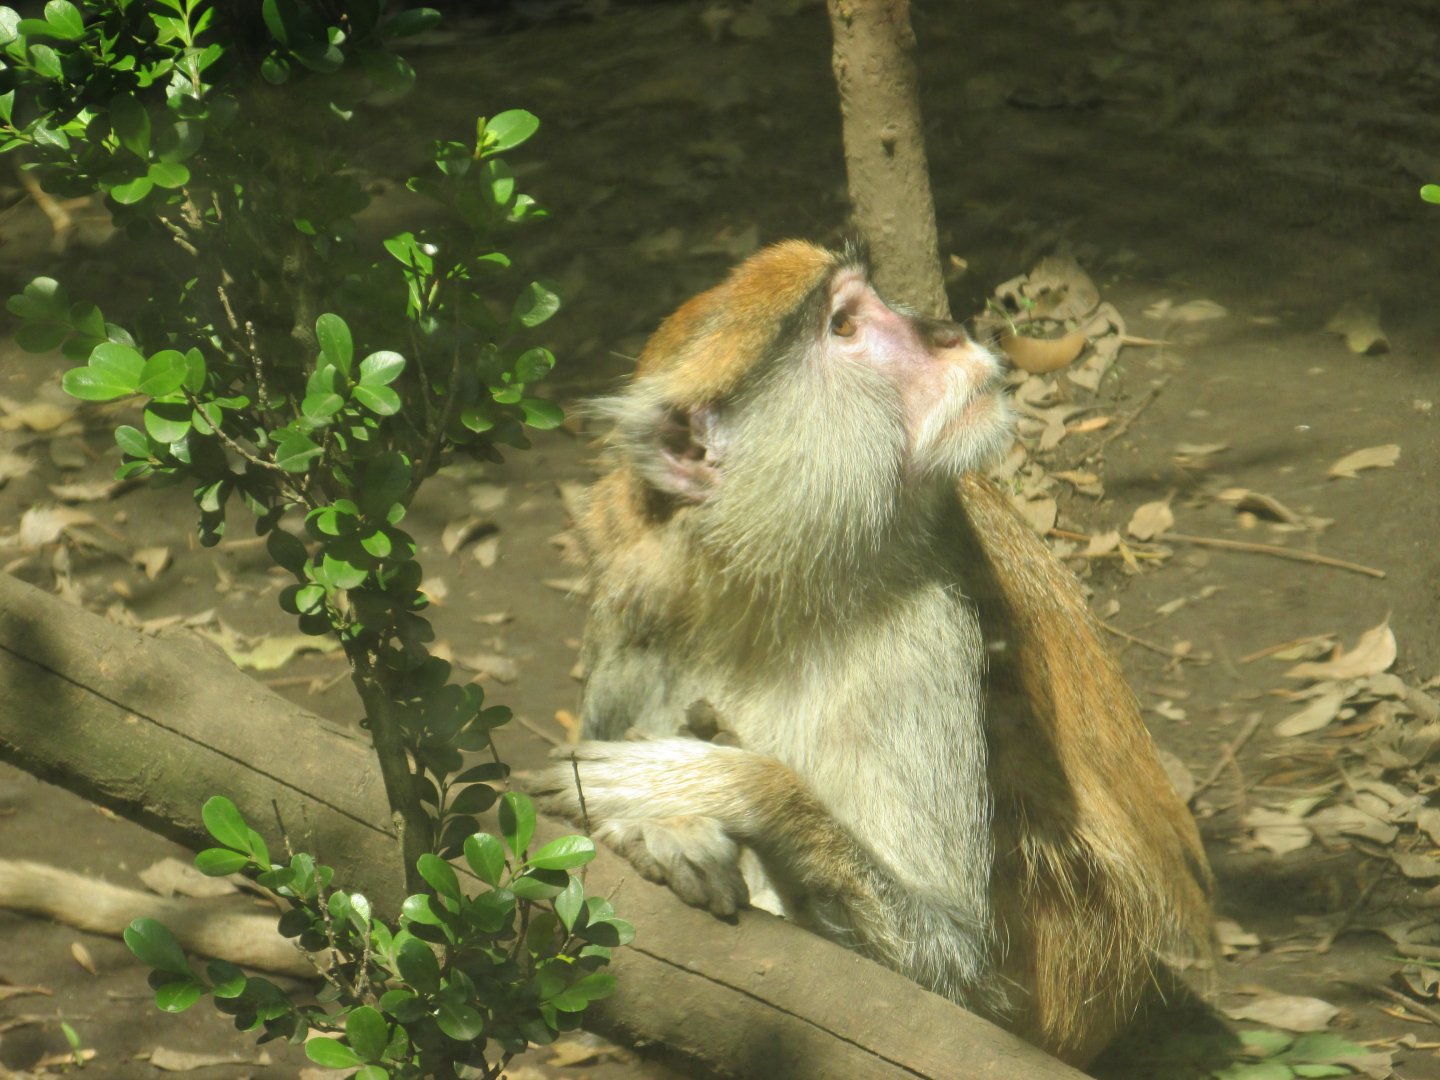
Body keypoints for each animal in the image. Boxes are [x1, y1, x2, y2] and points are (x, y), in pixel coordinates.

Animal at [531, 239, 1213, 1065]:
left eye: (864, 304)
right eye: (845, 326)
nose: (947, 331)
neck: (769, 579)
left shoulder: (926, 628)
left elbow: (949, 974)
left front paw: (709, 792)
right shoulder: (636, 598)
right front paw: (666, 829)